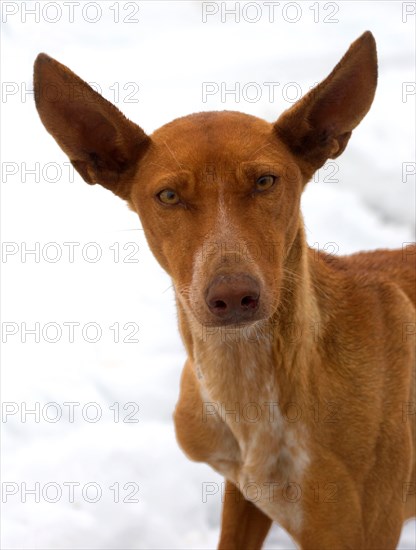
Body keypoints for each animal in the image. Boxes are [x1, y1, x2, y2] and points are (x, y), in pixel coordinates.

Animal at [34, 32, 414, 548]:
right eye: (168, 196)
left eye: (265, 181)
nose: (234, 296)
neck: (248, 379)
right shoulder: (244, 493)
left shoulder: (358, 531)